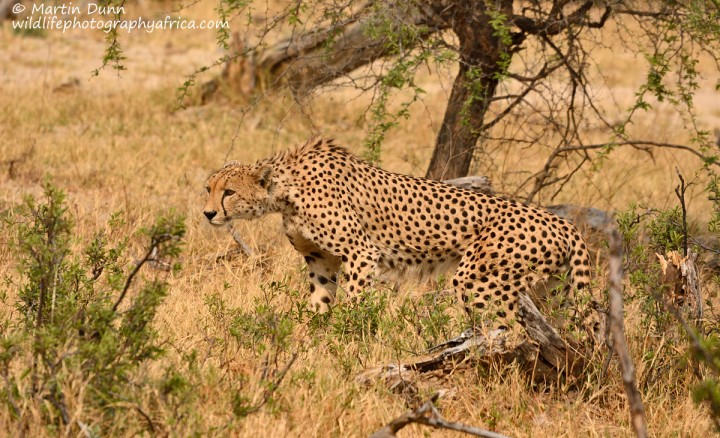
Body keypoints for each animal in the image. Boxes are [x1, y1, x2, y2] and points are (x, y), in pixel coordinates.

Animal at [205, 139, 600, 338]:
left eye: (228, 192)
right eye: (208, 189)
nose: (208, 214)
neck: (285, 190)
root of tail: (563, 222)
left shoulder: (360, 253)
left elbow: (354, 303)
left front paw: (348, 338)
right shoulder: (321, 259)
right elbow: (320, 301)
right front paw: (314, 339)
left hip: (479, 280)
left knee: (513, 330)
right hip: (551, 290)